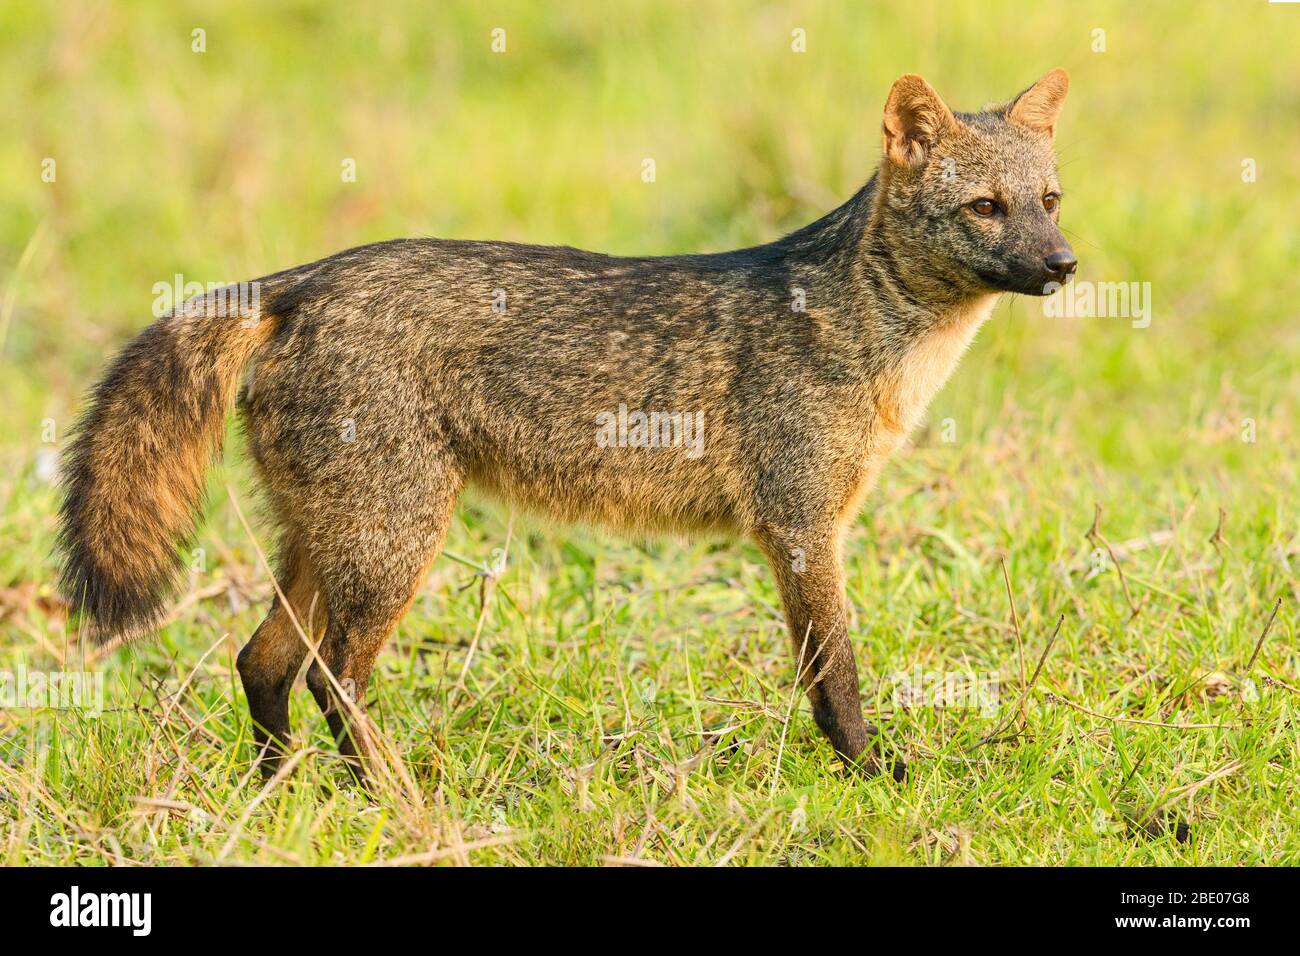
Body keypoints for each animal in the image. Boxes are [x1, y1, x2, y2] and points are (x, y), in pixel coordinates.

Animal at [58, 70, 1075, 784]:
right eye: (986, 207)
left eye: (1050, 200)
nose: (1065, 265)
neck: (877, 344)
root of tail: (299, 279)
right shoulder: (799, 524)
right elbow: (838, 678)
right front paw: (872, 777)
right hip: (393, 545)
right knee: (328, 676)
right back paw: (396, 801)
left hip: (334, 544)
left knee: (261, 663)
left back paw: (289, 799)